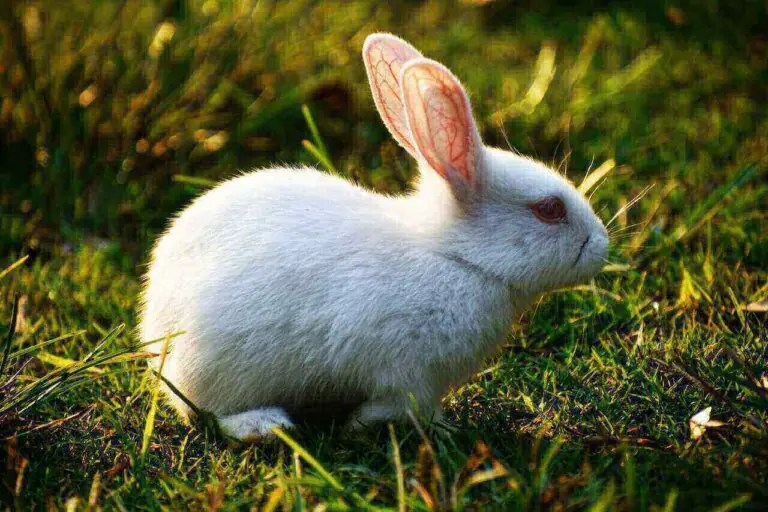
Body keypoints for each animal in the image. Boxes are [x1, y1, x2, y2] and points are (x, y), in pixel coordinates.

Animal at [139, 33, 609, 441]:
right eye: (549, 209)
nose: (602, 246)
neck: (456, 257)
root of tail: (154, 325)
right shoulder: (408, 373)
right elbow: (402, 405)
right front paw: (392, 426)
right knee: (208, 412)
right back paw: (263, 426)